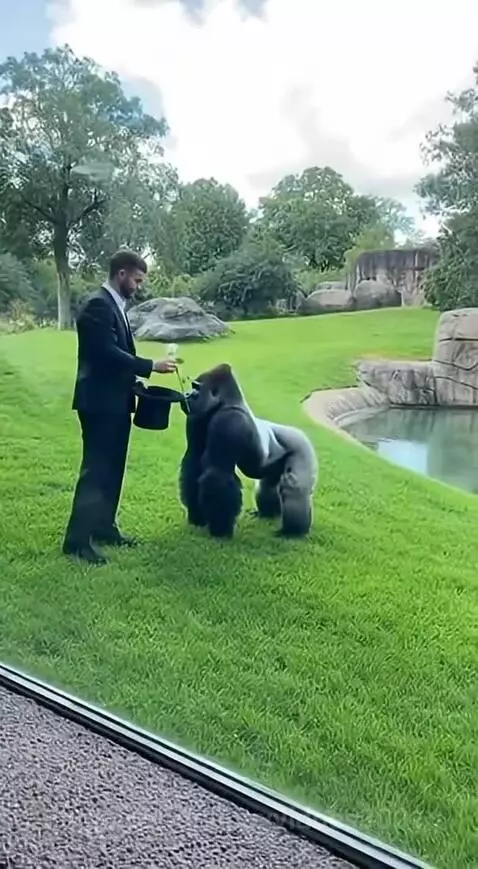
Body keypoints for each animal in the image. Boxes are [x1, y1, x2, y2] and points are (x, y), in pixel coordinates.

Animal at [178, 363, 318, 539]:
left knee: (293, 489)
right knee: (268, 485)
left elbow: (218, 472)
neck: (225, 403)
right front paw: (197, 517)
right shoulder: (196, 417)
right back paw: (267, 515)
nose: (187, 394)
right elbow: (193, 461)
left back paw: (293, 532)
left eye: (196, 387)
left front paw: (220, 529)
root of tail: (300, 432)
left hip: (302, 448)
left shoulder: (230, 420)